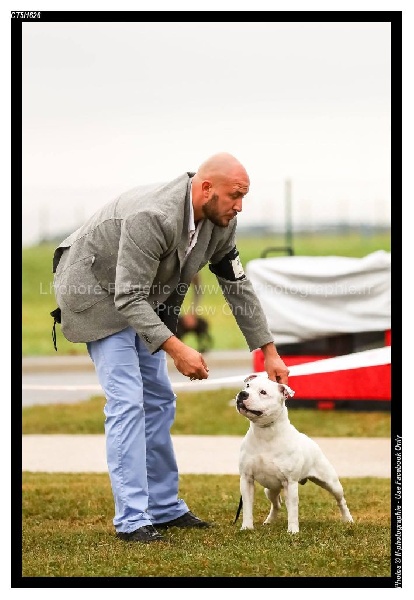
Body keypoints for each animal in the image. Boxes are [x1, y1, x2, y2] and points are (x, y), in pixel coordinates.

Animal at [235, 374, 353, 533]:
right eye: (247, 386)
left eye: (263, 392)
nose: (243, 394)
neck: (265, 432)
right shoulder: (247, 479)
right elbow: (247, 507)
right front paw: (246, 527)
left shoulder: (290, 483)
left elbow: (292, 510)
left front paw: (292, 531)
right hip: (270, 489)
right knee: (276, 504)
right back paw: (269, 521)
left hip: (331, 483)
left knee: (341, 500)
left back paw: (348, 519)